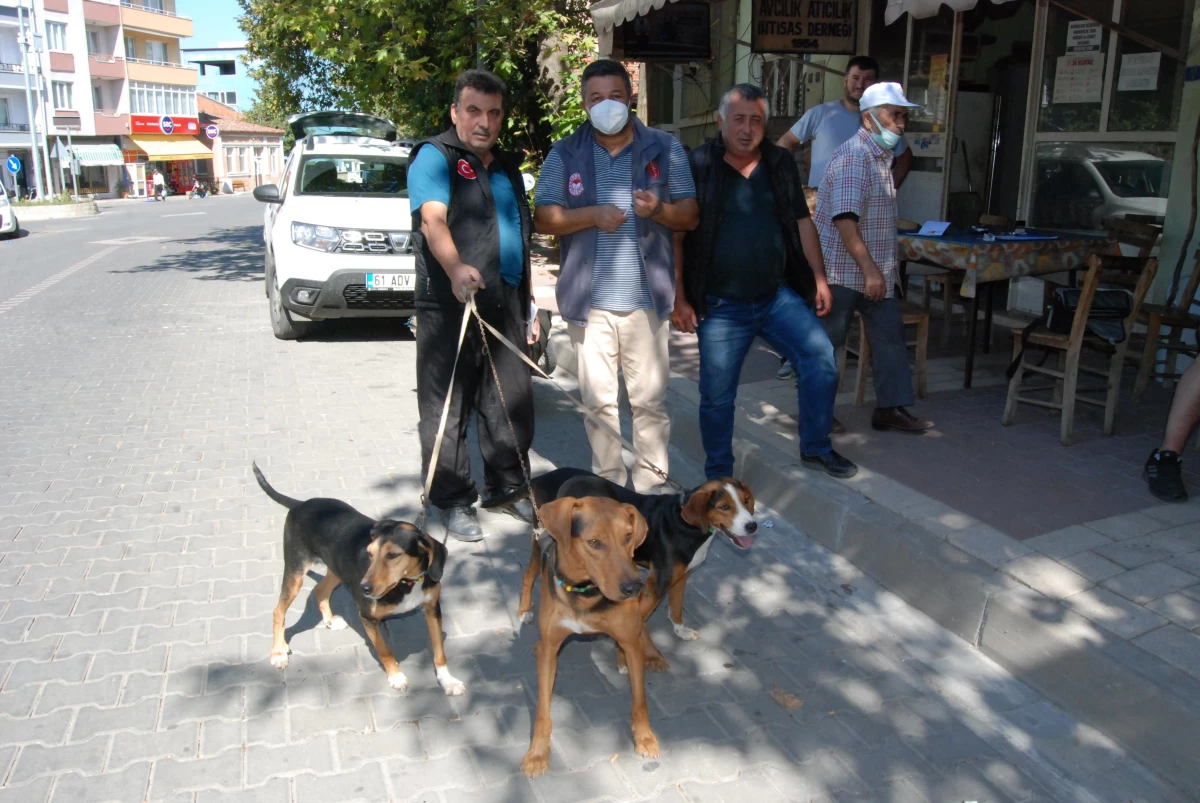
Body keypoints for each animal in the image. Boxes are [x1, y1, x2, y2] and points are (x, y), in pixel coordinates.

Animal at [255, 463, 465, 696]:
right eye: (370, 553)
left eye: (393, 555)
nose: (364, 588)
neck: (407, 583)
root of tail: (300, 504)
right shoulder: (367, 617)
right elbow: (384, 651)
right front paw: (396, 676)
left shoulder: (432, 608)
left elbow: (439, 652)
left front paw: (448, 681)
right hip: (296, 571)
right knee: (278, 611)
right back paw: (278, 652)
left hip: (336, 569)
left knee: (319, 590)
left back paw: (329, 620)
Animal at [518, 465, 758, 652]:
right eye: (725, 507)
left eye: (746, 501)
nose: (752, 526)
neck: (686, 524)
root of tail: (541, 477)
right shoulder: (656, 585)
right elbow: (639, 622)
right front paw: (623, 660)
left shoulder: (680, 577)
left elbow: (676, 608)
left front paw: (681, 631)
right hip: (542, 540)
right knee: (529, 574)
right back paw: (524, 611)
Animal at [523, 494, 662, 777]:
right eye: (595, 542)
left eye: (628, 536)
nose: (633, 588)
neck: (585, 589)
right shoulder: (552, 649)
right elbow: (543, 712)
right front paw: (537, 754)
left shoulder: (631, 641)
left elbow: (640, 701)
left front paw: (645, 738)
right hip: (536, 554)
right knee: (528, 576)